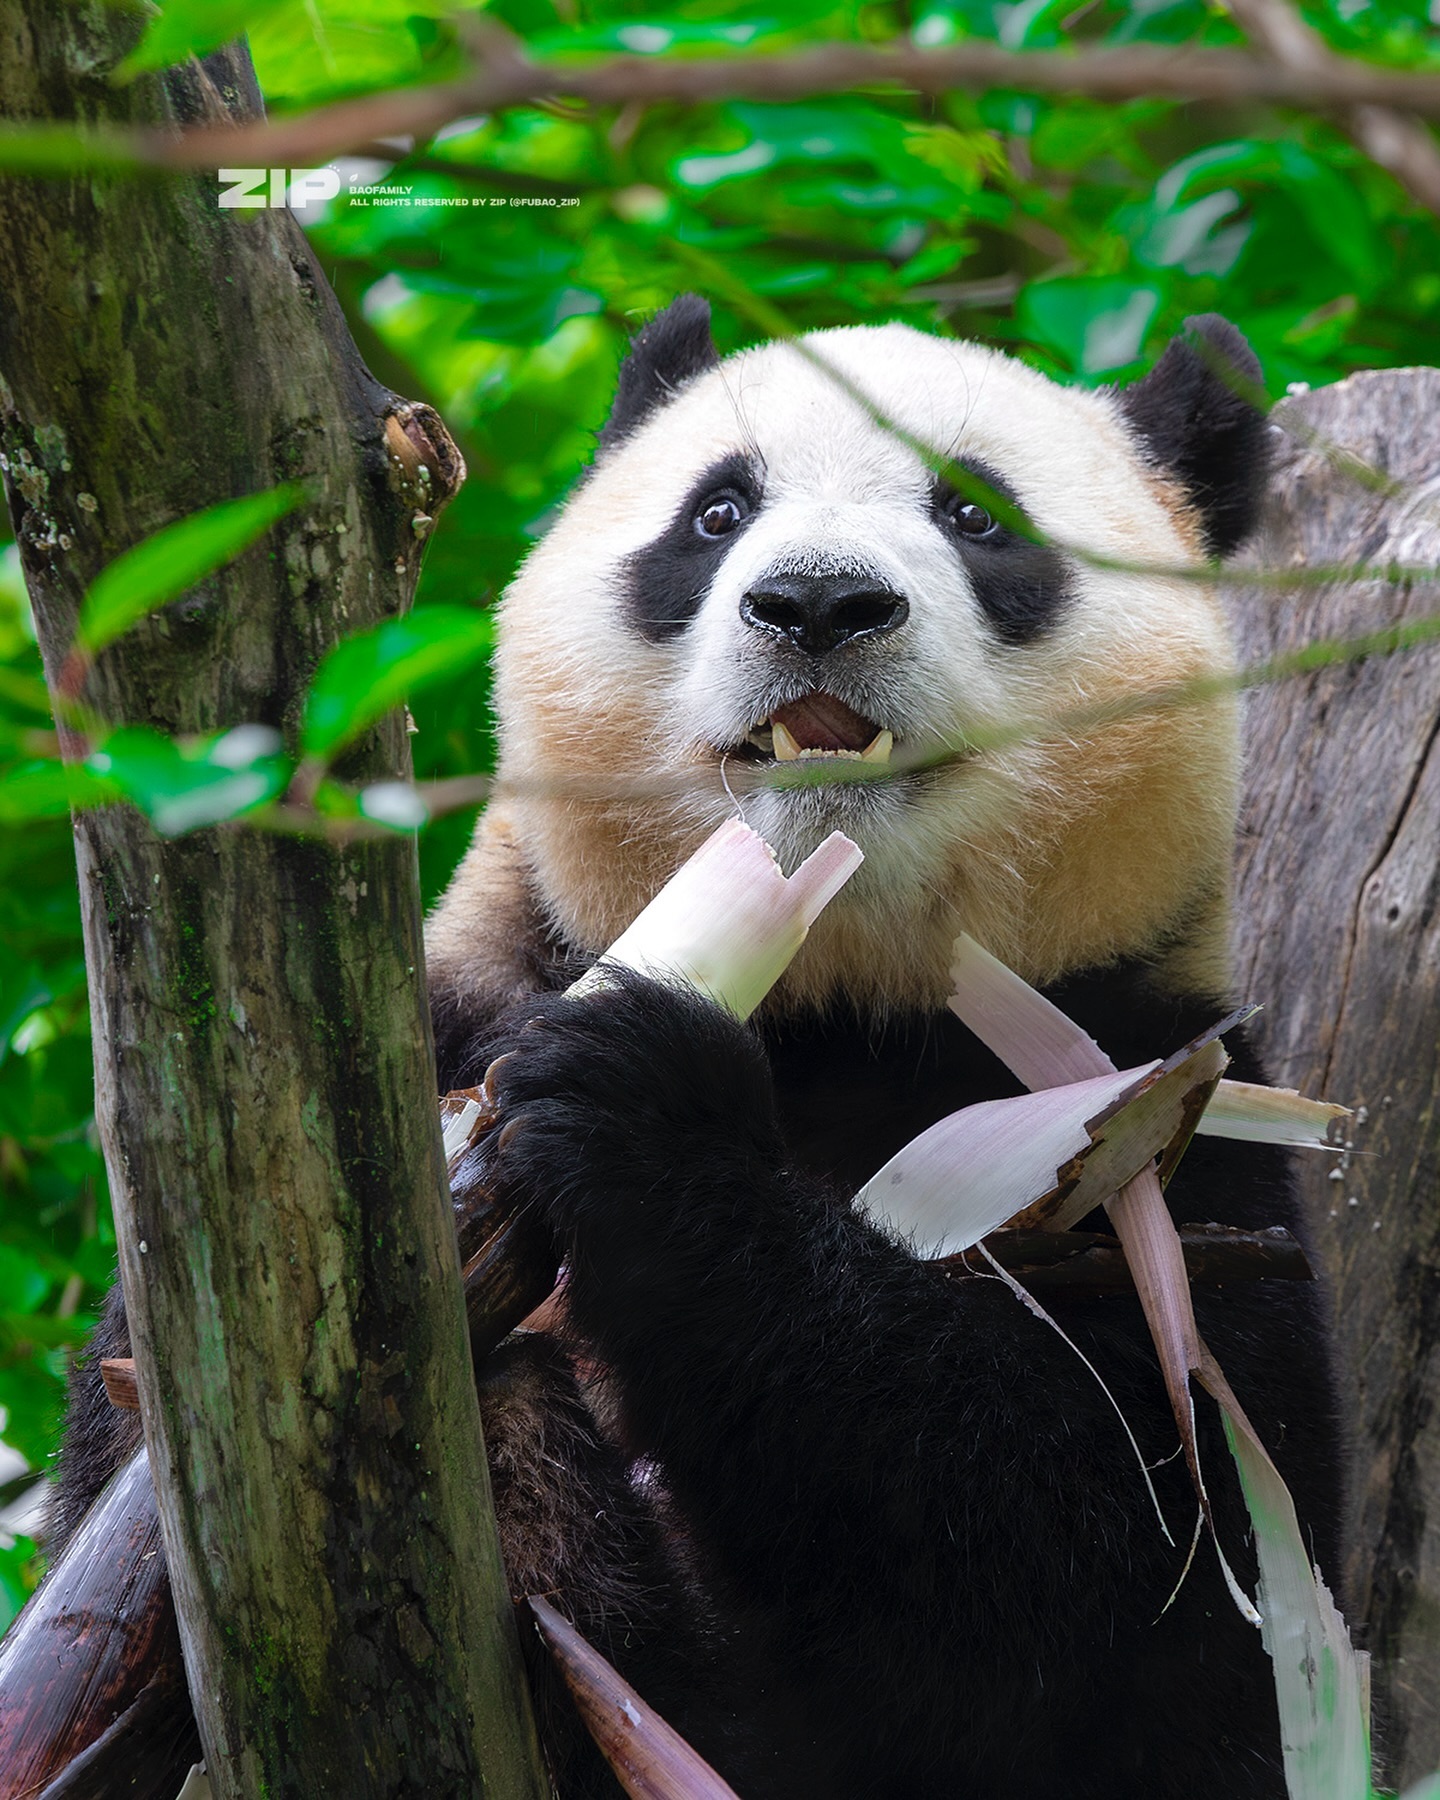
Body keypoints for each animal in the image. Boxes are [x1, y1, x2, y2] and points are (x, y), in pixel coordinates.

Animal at [53, 298, 1339, 1800]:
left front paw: (642, 1108)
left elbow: (1134, 1597)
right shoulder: (465, 1000)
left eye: (974, 514)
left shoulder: (1160, 1110)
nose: (819, 604)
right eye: (719, 512)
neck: (828, 993)